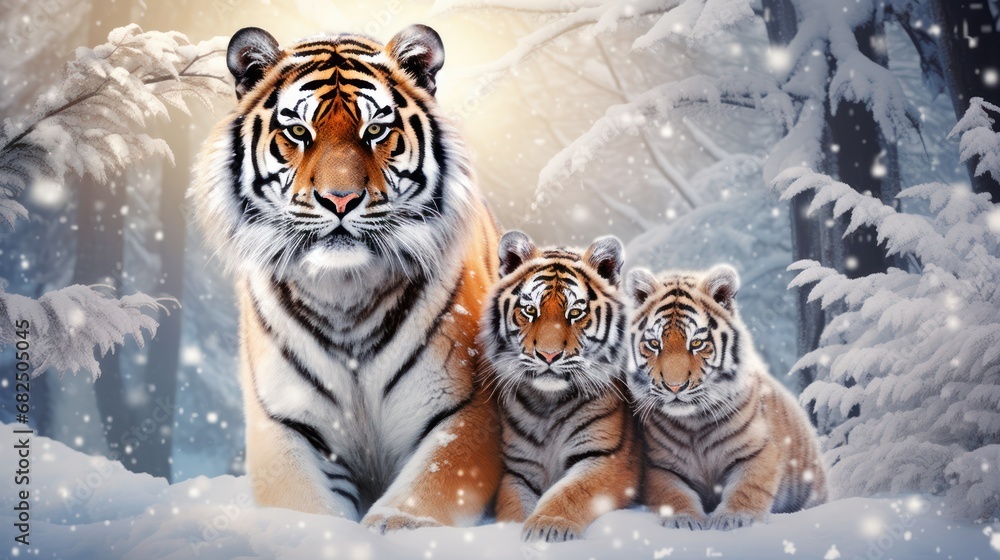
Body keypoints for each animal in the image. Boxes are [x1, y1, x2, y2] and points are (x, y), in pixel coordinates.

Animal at [189, 25, 504, 532]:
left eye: (375, 130)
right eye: (298, 131)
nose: (340, 199)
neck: (345, 293)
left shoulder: (467, 409)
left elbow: (427, 492)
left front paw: (392, 528)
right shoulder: (284, 422)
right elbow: (305, 509)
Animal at [481, 231, 640, 542]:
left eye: (575, 312)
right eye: (530, 310)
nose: (549, 355)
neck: (548, 404)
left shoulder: (607, 457)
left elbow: (571, 491)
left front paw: (546, 528)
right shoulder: (519, 469)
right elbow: (513, 506)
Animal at [625, 265, 827, 531]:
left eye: (696, 343)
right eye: (654, 343)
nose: (674, 386)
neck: (694, 424)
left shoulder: (759, 451)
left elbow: (747, 487)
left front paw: (734, 518)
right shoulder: (658, 465)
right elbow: (672, 494)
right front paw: (685, 521)